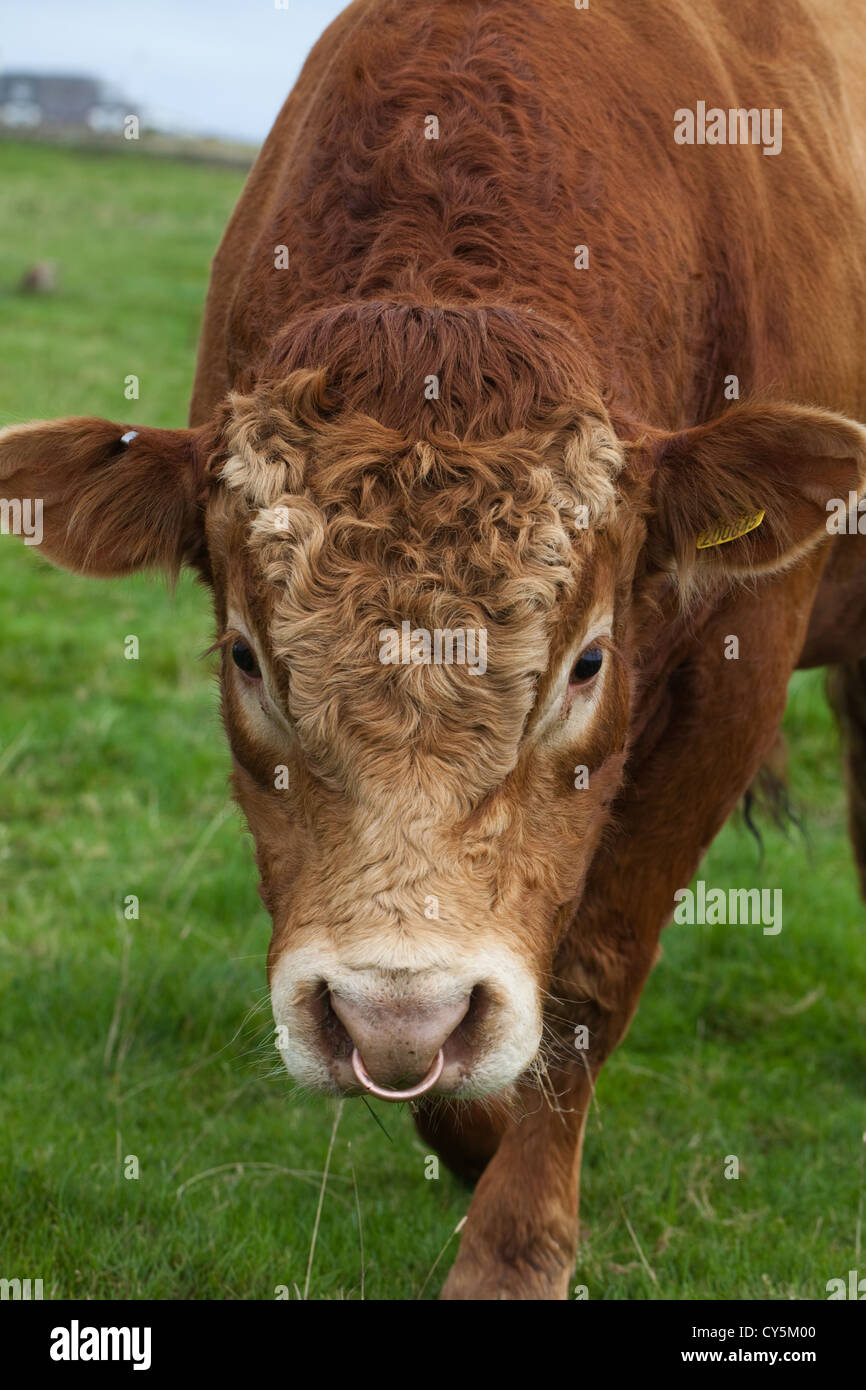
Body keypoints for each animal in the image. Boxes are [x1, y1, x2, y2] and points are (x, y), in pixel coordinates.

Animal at [1, 2, 866, 1301]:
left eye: (588, 663)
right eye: (247, 658)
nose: (395, 1012)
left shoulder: (734, 672)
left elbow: (587, 979)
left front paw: (514, 1246)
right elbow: (457, 1081)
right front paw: (476, 1138)